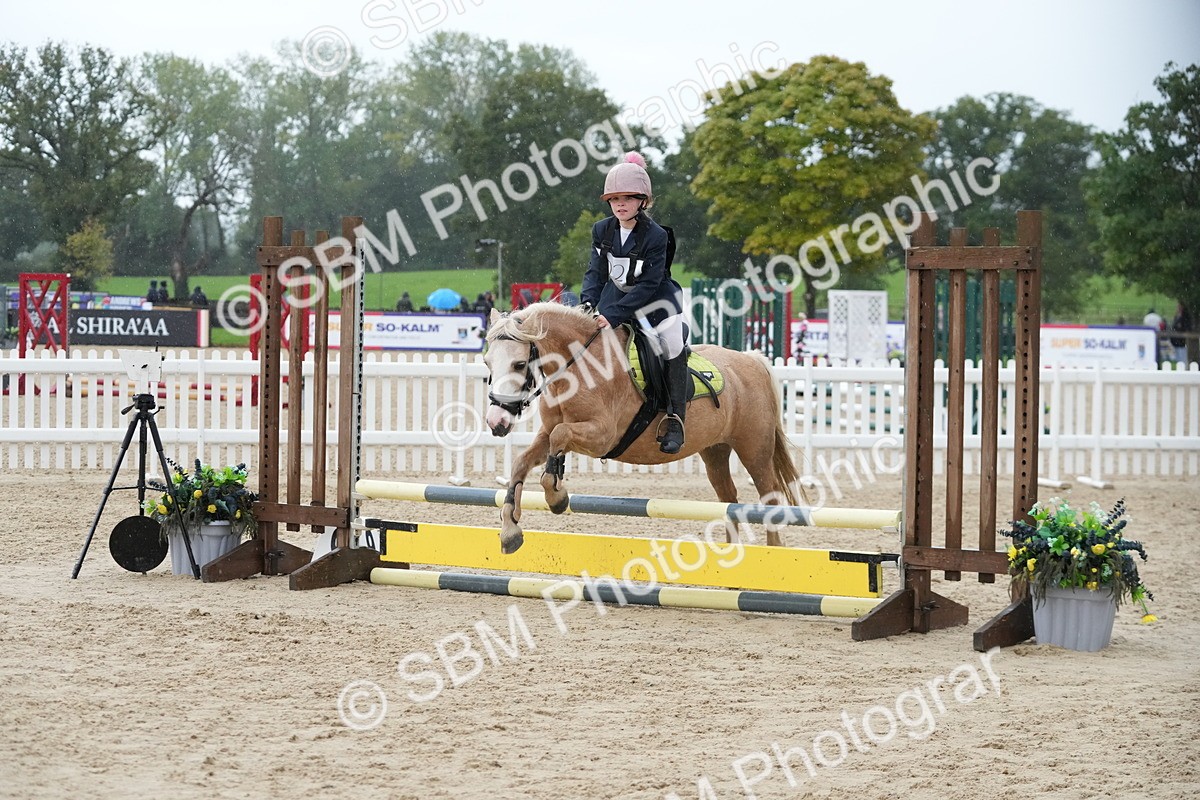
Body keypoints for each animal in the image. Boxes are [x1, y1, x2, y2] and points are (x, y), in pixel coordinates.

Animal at [483, 302, 802, 554]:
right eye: (486, 362)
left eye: (519, 363)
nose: (496, 422)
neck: (577, 367)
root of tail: (752, 359)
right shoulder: (547, 434)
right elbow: (524, 461)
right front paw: (510, 531)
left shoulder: (602, 436)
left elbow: (561, 436)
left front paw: (556, 497)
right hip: (715, 451)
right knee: (729, 499)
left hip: (754, 449)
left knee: (770, 496)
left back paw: (774, 554)